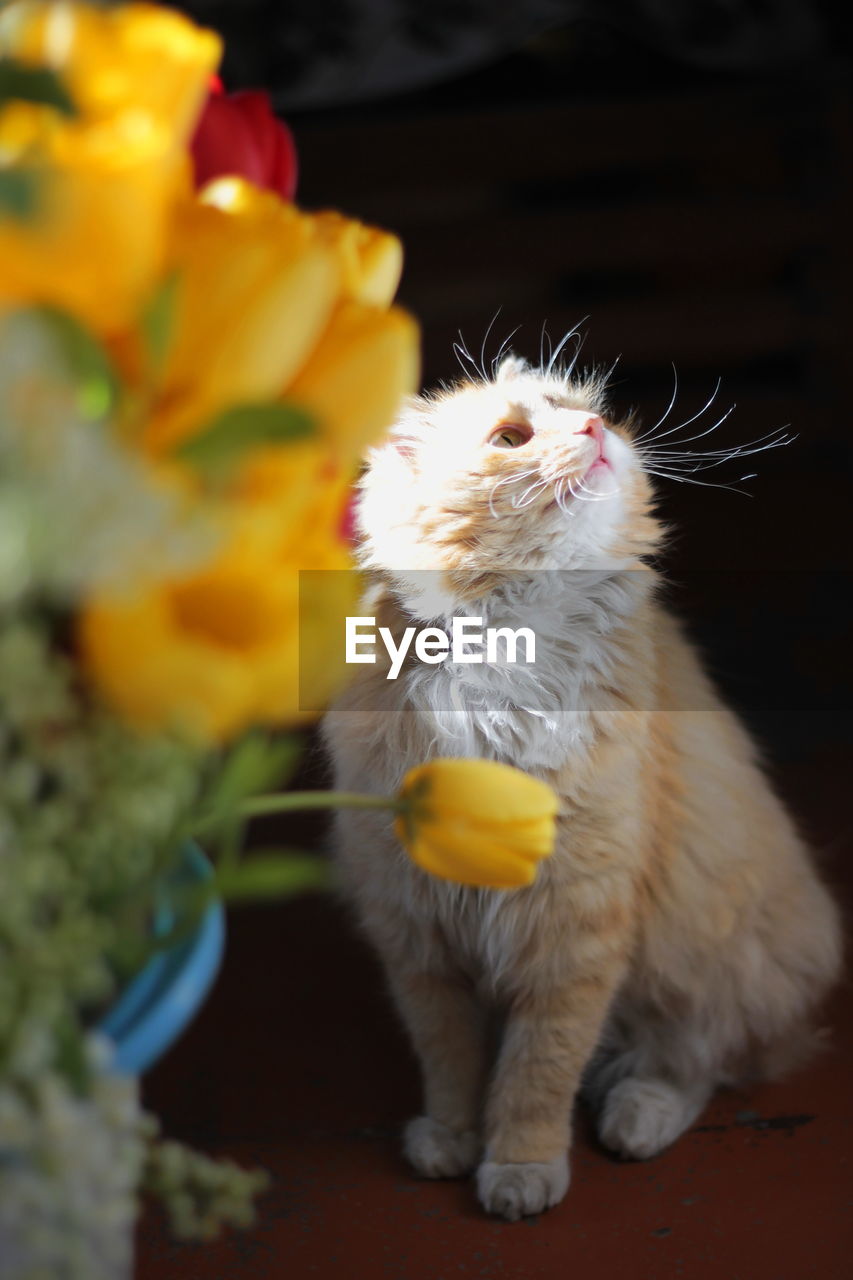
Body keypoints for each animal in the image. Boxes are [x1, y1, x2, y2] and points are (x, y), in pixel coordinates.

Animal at [318, 348, 835, 1218]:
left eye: (574, 407)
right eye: (512, 437)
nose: (594, 428)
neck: (509, 653)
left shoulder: (573, 928)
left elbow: (538, 1072)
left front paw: (519, 1169)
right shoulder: (417, 933)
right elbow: (450, 1060)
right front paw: (452, 1139)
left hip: (701, 952)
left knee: (695, 1064)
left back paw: (634, 1116)